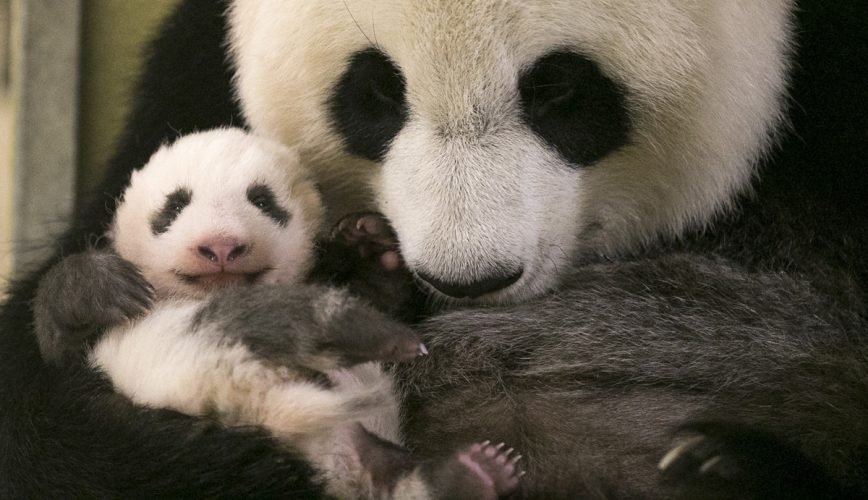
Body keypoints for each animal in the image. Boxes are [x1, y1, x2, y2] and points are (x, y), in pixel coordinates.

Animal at [34, 129, 524, 500]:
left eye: (263, 200)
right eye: (175, 205)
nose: (221, 245)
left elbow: (375, 289)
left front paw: (370, 243)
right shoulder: (101, 348)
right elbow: (59, 340)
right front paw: (101, 284)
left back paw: (473, 472)